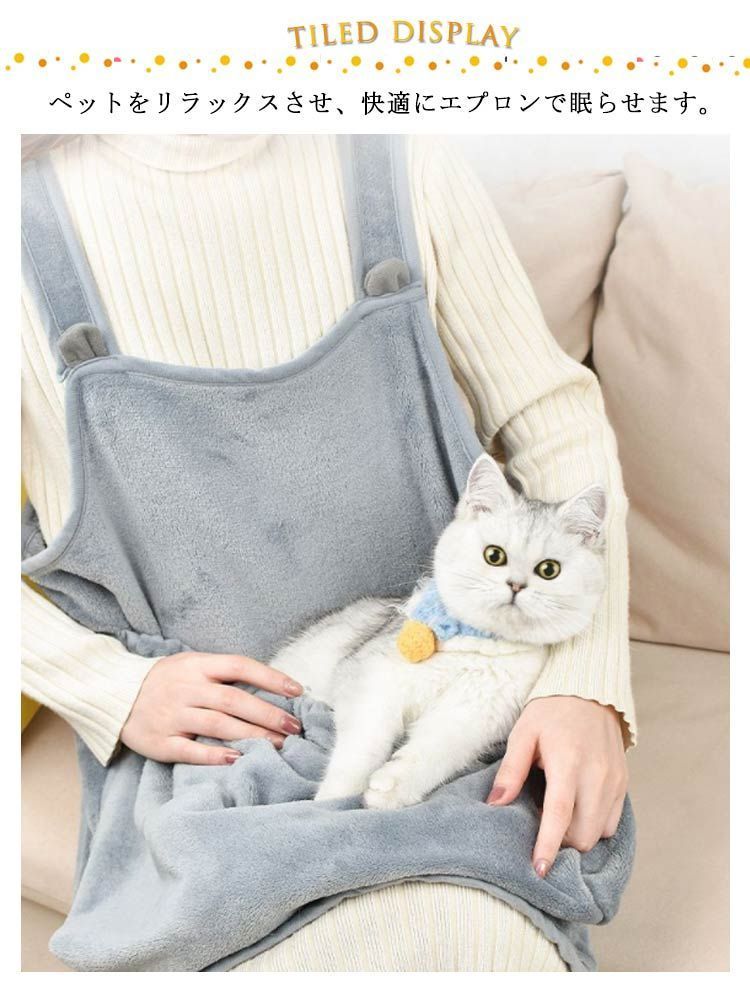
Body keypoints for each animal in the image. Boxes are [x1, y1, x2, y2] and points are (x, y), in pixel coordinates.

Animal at [269, 453, 608, 810]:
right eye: (494, 555)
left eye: (548, 570)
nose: (516, 585)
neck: (476, 645)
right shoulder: (372, 680)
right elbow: (362, 746)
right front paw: (334, 796)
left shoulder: (473, 715)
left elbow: (434, 751)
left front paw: (390, 789)